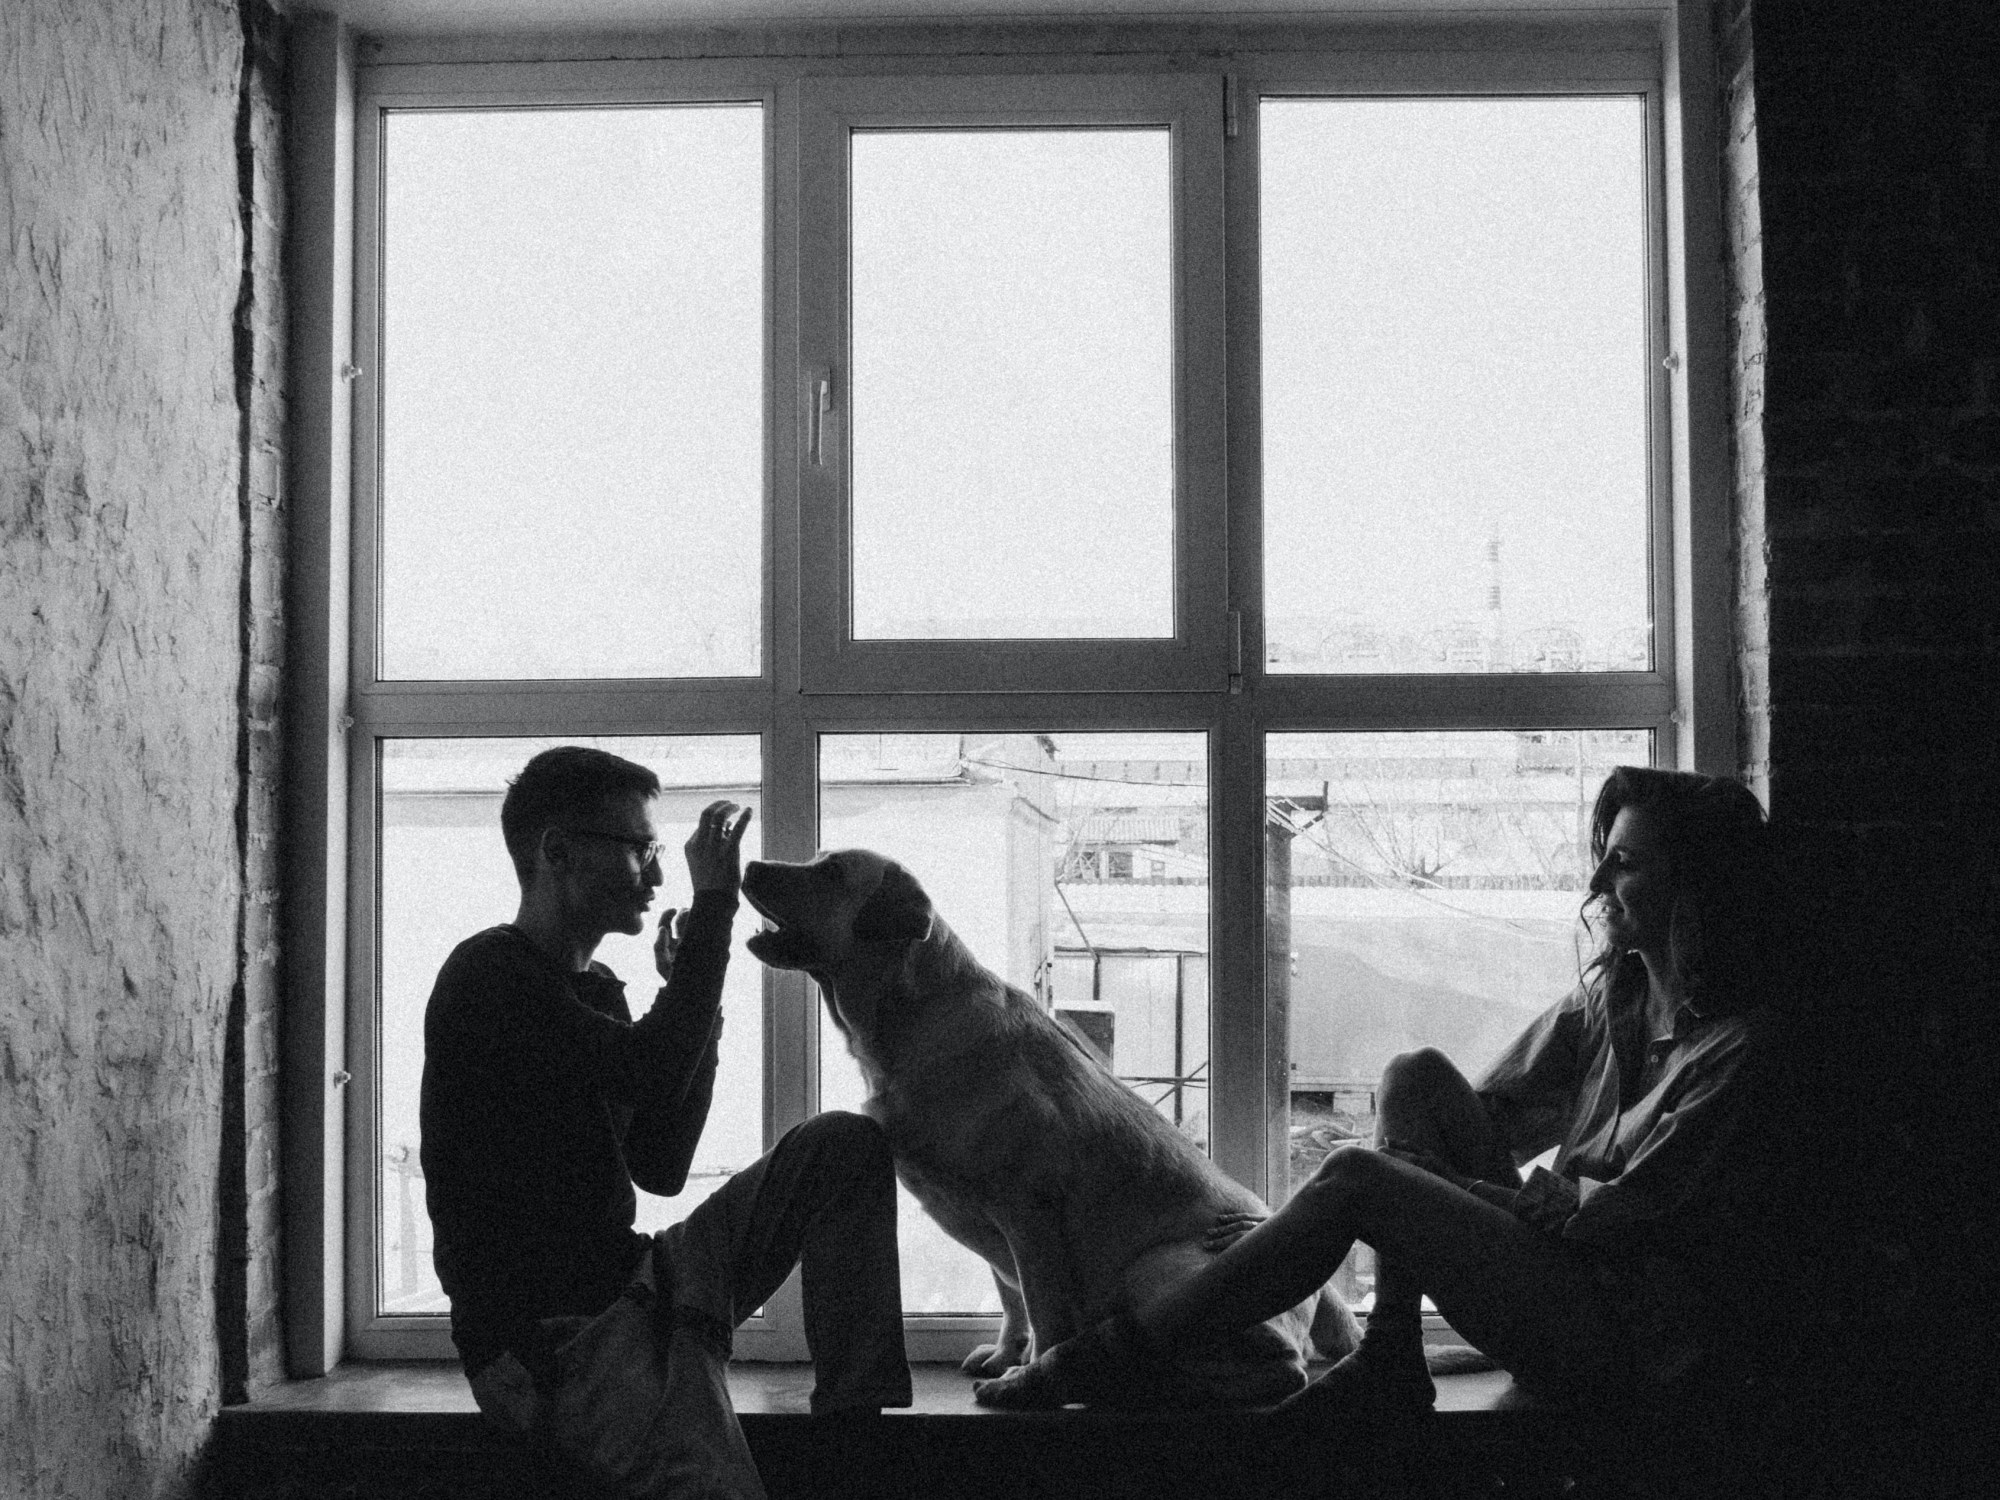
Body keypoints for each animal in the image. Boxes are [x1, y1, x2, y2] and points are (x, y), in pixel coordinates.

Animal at [742, 848, 1362, 1407]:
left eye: (831, 871)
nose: (751, 865)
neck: (910, 1020)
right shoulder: (996, 1231)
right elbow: (1010, 1299)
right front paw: (1005, 1354)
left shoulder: (1029, 1212)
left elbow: (1043, 1308)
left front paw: (1030, 1372)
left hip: (1157, 1269)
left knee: (1281, 1366)